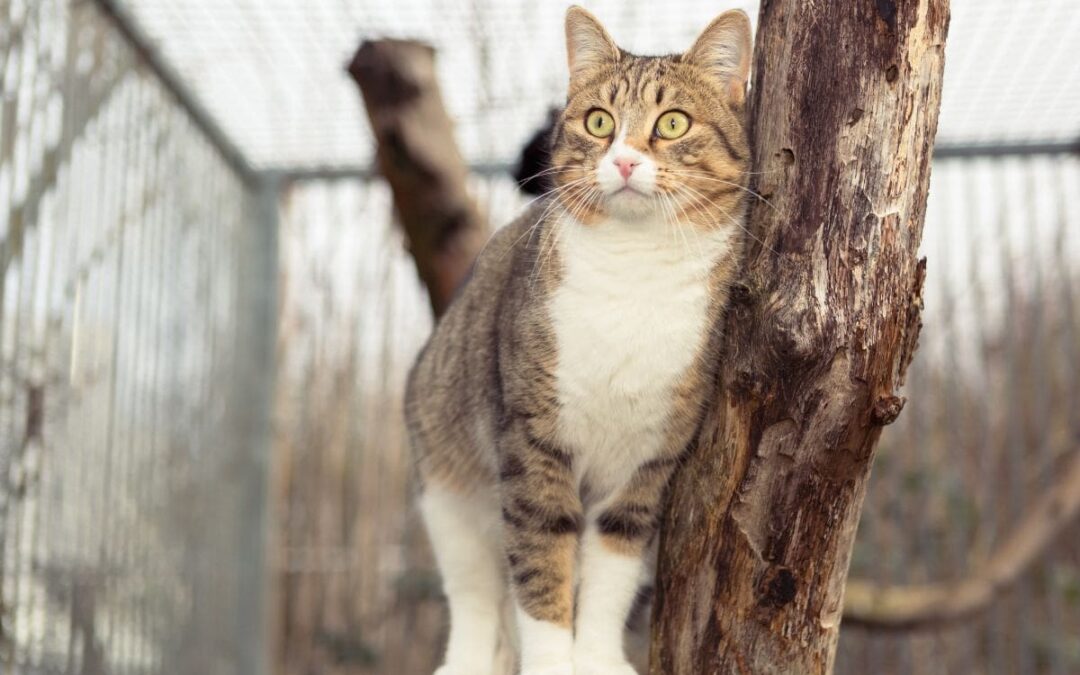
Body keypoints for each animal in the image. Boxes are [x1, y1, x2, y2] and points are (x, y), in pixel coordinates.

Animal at [406, 6, 751, 673]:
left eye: (673, 122)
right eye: (599, 121)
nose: (623, 162)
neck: (634, 272)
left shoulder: (648, 458)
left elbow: (611, 566)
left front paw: (594, 657)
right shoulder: (532, 441)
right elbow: (542, 564)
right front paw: (551, 660)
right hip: (447, 476)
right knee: (475, 591)